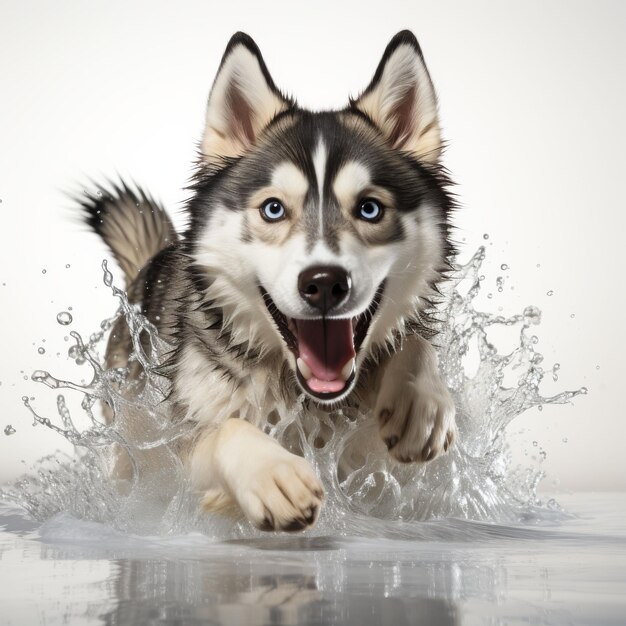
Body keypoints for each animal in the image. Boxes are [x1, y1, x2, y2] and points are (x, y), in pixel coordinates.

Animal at [81, 30, 454, 532]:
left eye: (370, 208)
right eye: (273, 209)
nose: (324, 283)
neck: (306, 397)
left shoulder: (377, 471)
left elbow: (414, 345)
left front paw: (420, 401)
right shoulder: (176, 452)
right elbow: (226, 431)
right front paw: (271, 472)